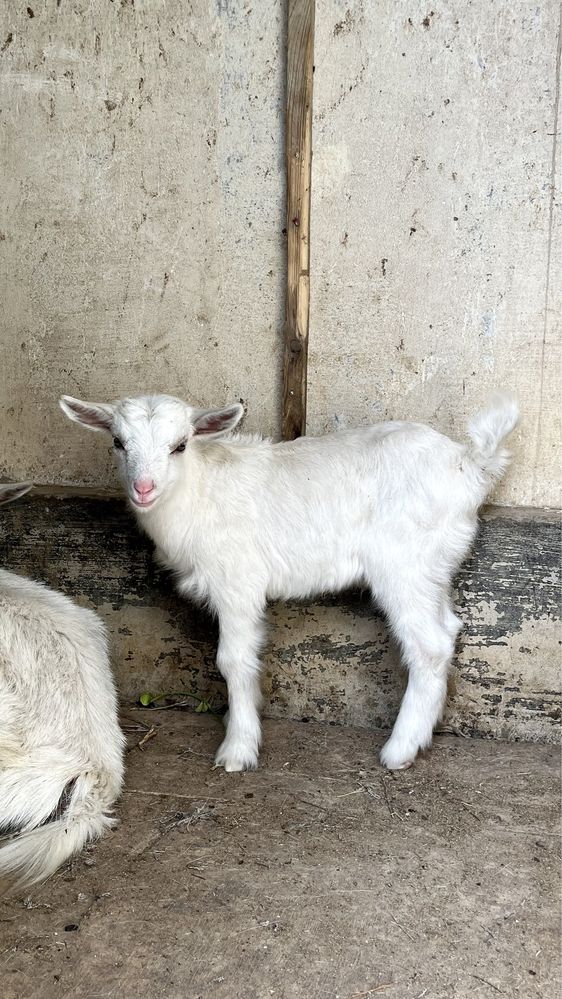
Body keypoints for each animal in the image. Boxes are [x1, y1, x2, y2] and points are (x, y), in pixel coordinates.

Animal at [58, 390, 516, 772]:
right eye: (118, 443)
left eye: (180, 445)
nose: (143, 488)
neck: (199, 489)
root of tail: (471, 464)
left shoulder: (237, 582)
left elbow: (233, 661)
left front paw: (238, 749)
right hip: (433, 568)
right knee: (448, 630)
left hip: (404, 565)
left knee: (429, 645)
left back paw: (399, 750)